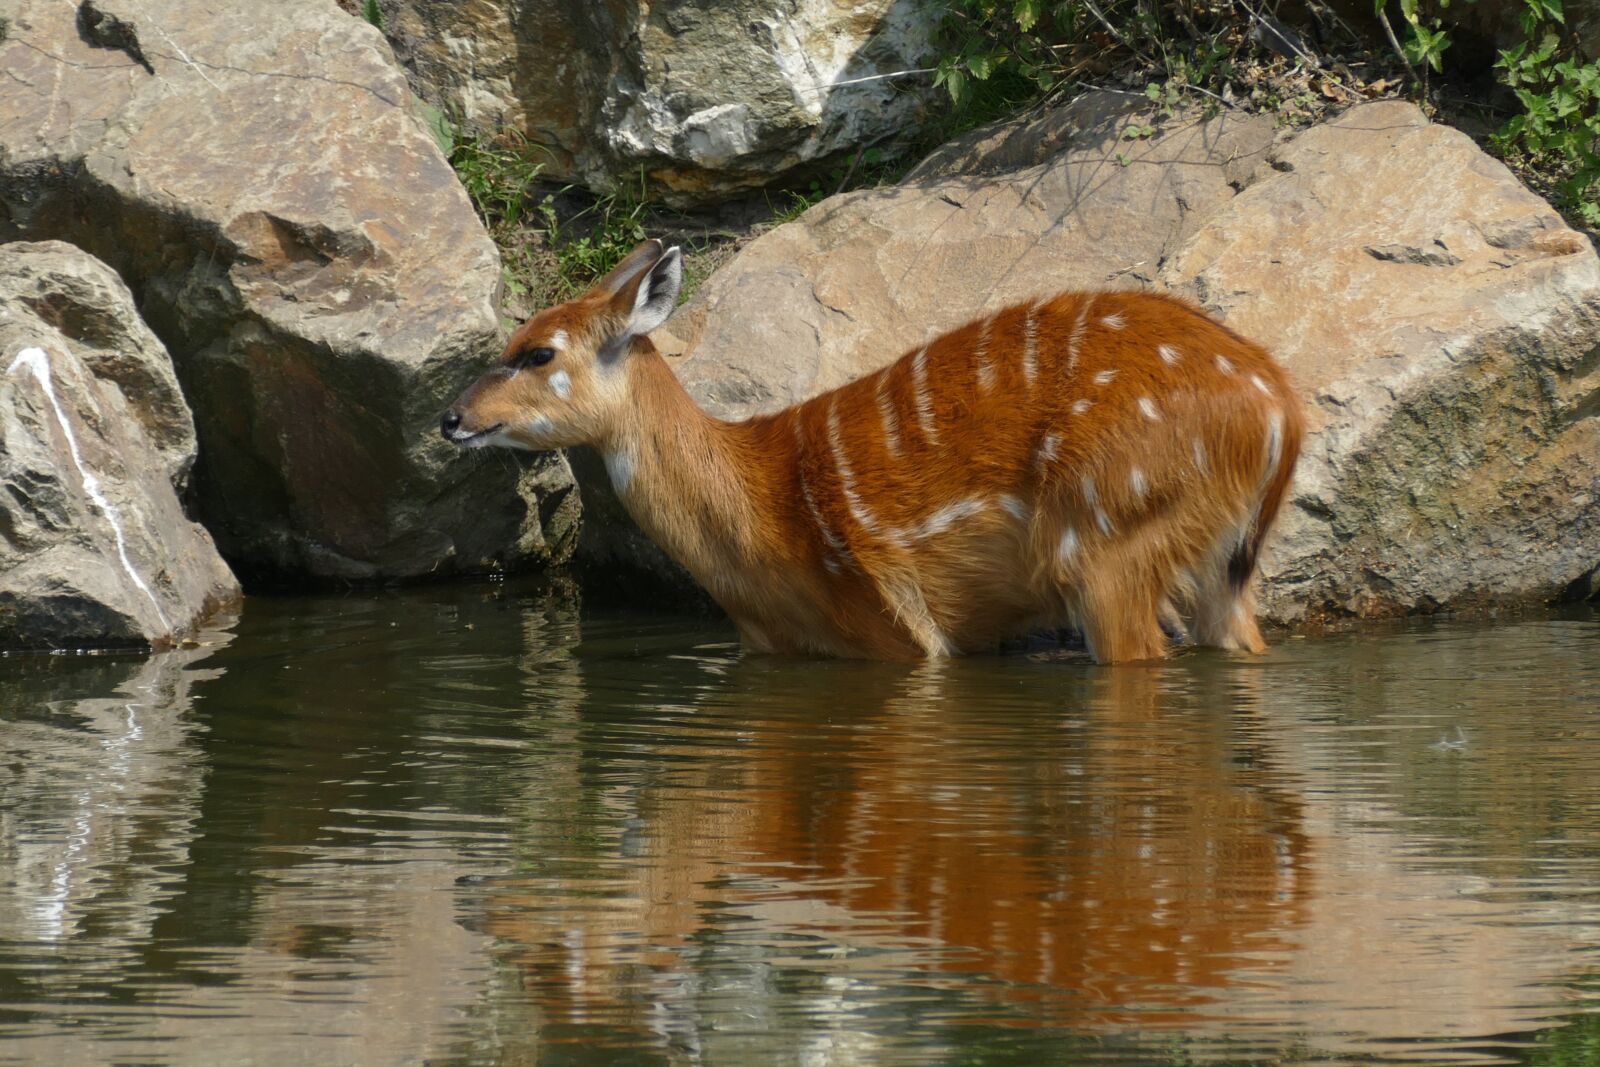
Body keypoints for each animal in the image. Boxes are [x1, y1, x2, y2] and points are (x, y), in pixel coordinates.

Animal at [441, 239, 1303, 663]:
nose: (452, 417)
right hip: (1219, 561)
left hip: (1106, 537)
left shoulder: (902, 631)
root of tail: (1280, 408)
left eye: (539, 352)